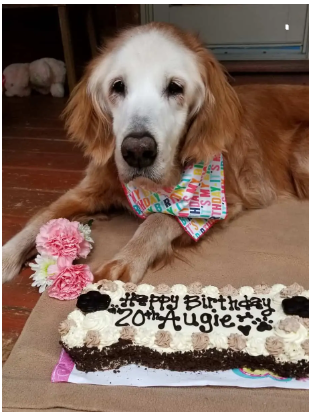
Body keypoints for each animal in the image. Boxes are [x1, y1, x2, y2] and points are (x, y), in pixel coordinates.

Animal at [3, 22, 308, 284]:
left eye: (175, 87)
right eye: (118, 86)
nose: (137, 151)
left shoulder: (221, 203)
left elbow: (159, 218)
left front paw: (126, 259)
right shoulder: (89, 188)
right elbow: (42, 216)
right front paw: (7, 255)